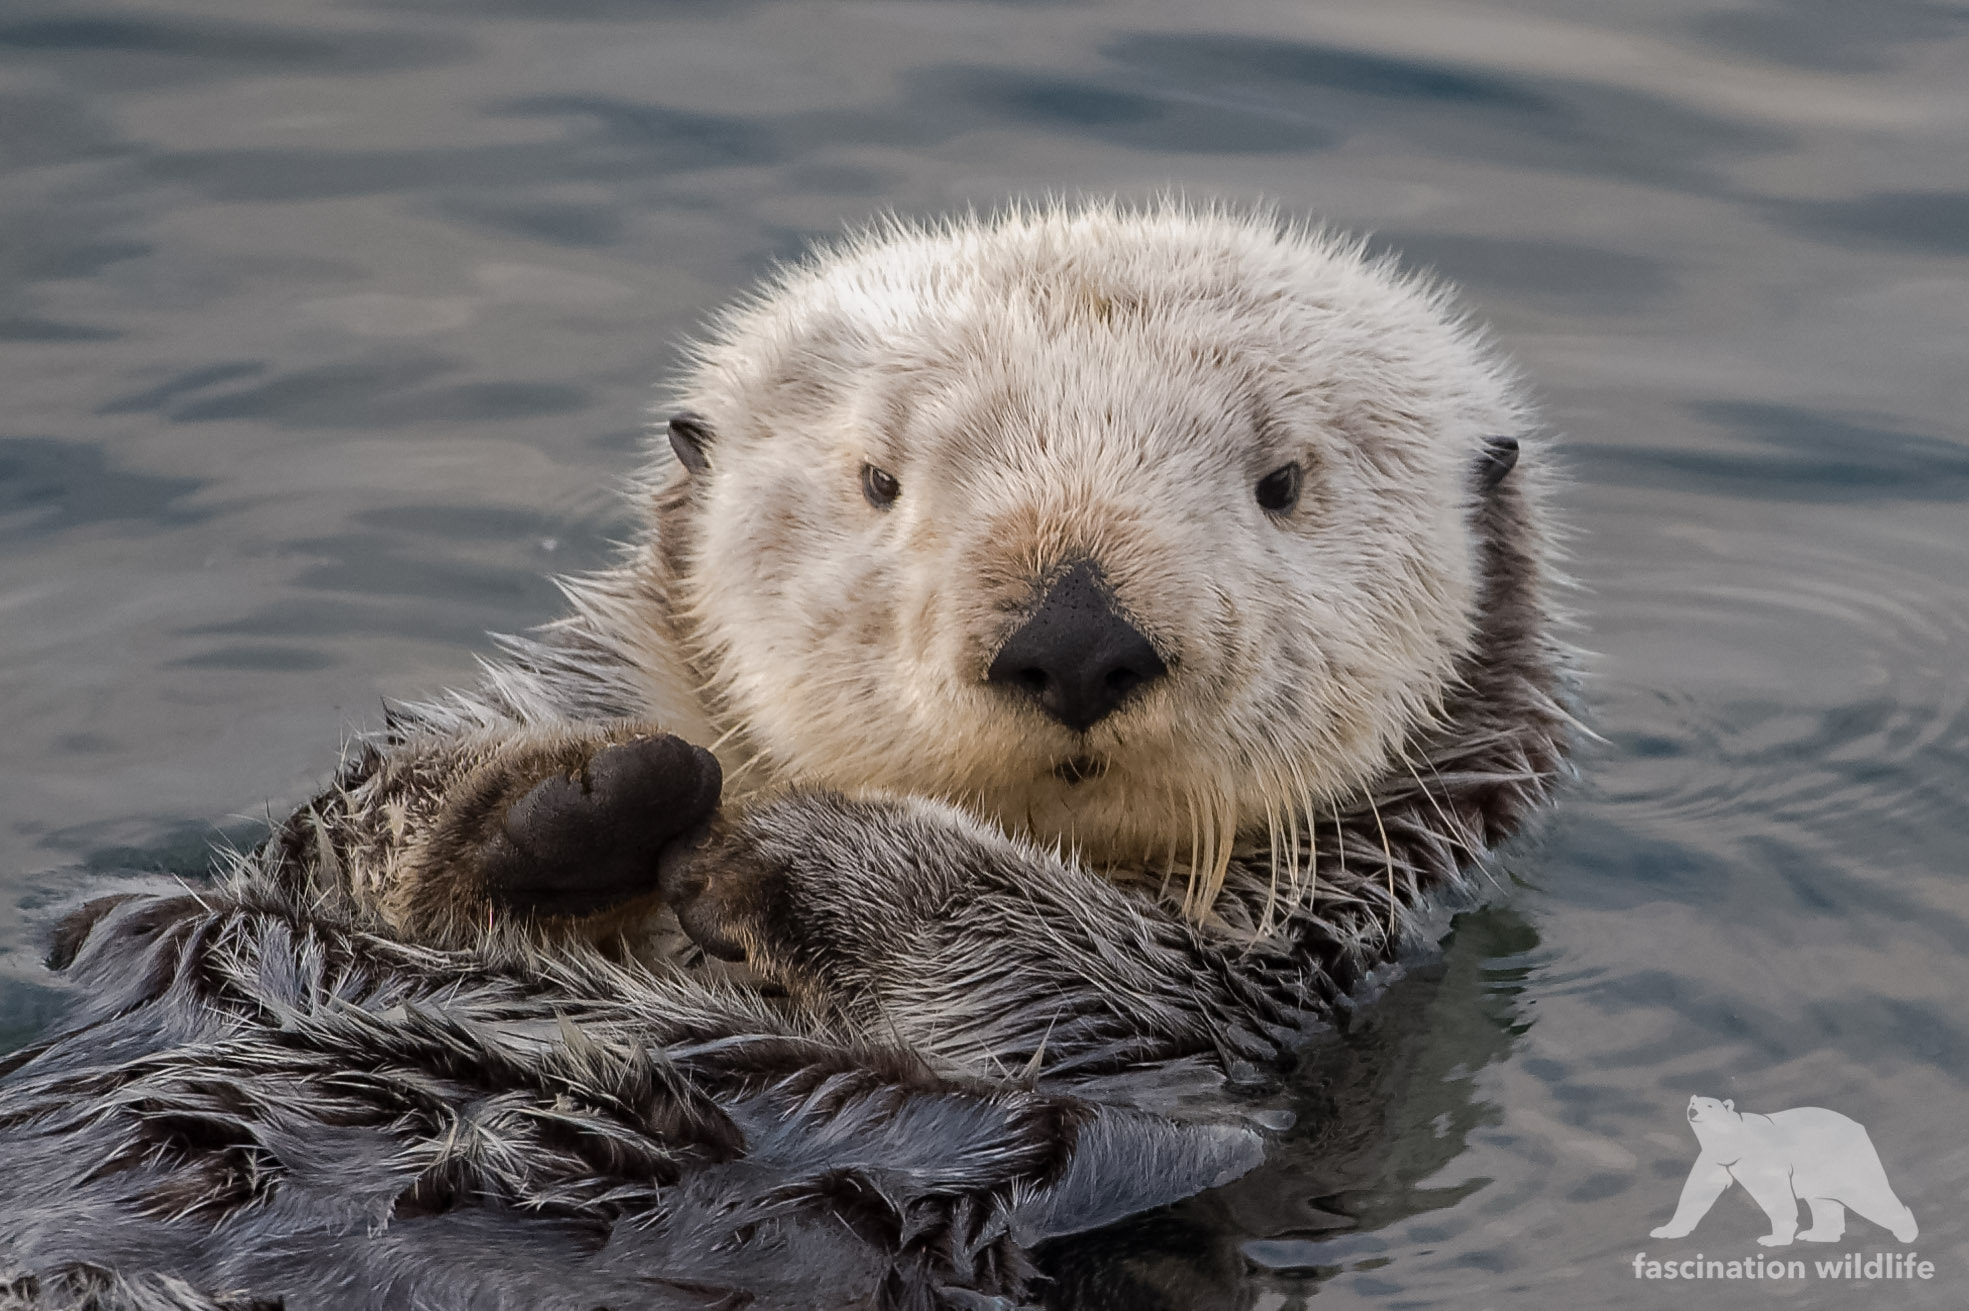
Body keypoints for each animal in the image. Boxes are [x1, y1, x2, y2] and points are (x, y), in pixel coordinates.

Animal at [0, 201, 1567, 1307]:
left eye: (1281, 483)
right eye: (878, 479)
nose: (1075, 638)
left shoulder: (1259, 1006)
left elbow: (1088, 984)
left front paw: (794, 852)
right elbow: (332, 838)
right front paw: (573, 797)